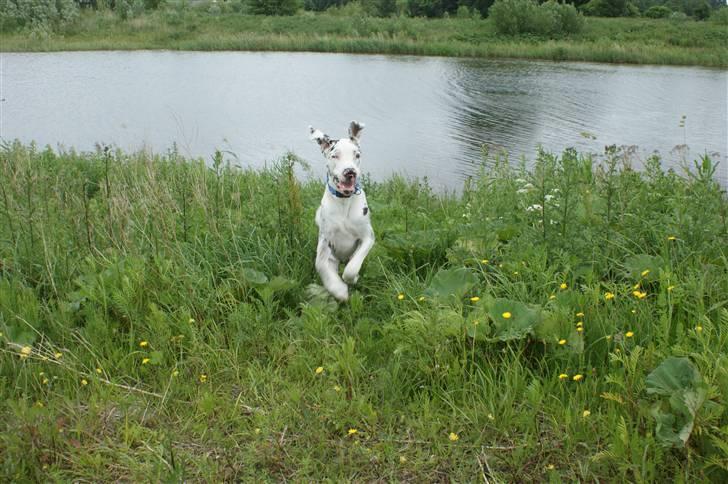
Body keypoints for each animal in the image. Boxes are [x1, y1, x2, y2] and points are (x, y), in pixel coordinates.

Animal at [308, 120, 376, 300]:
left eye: (357, 155)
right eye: (335, 155)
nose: (350, 172)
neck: (344, 202)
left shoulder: (367, 237)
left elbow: (351, 269)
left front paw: (351, 278)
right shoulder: (325, 242)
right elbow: (320, 265)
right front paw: (338, 289)